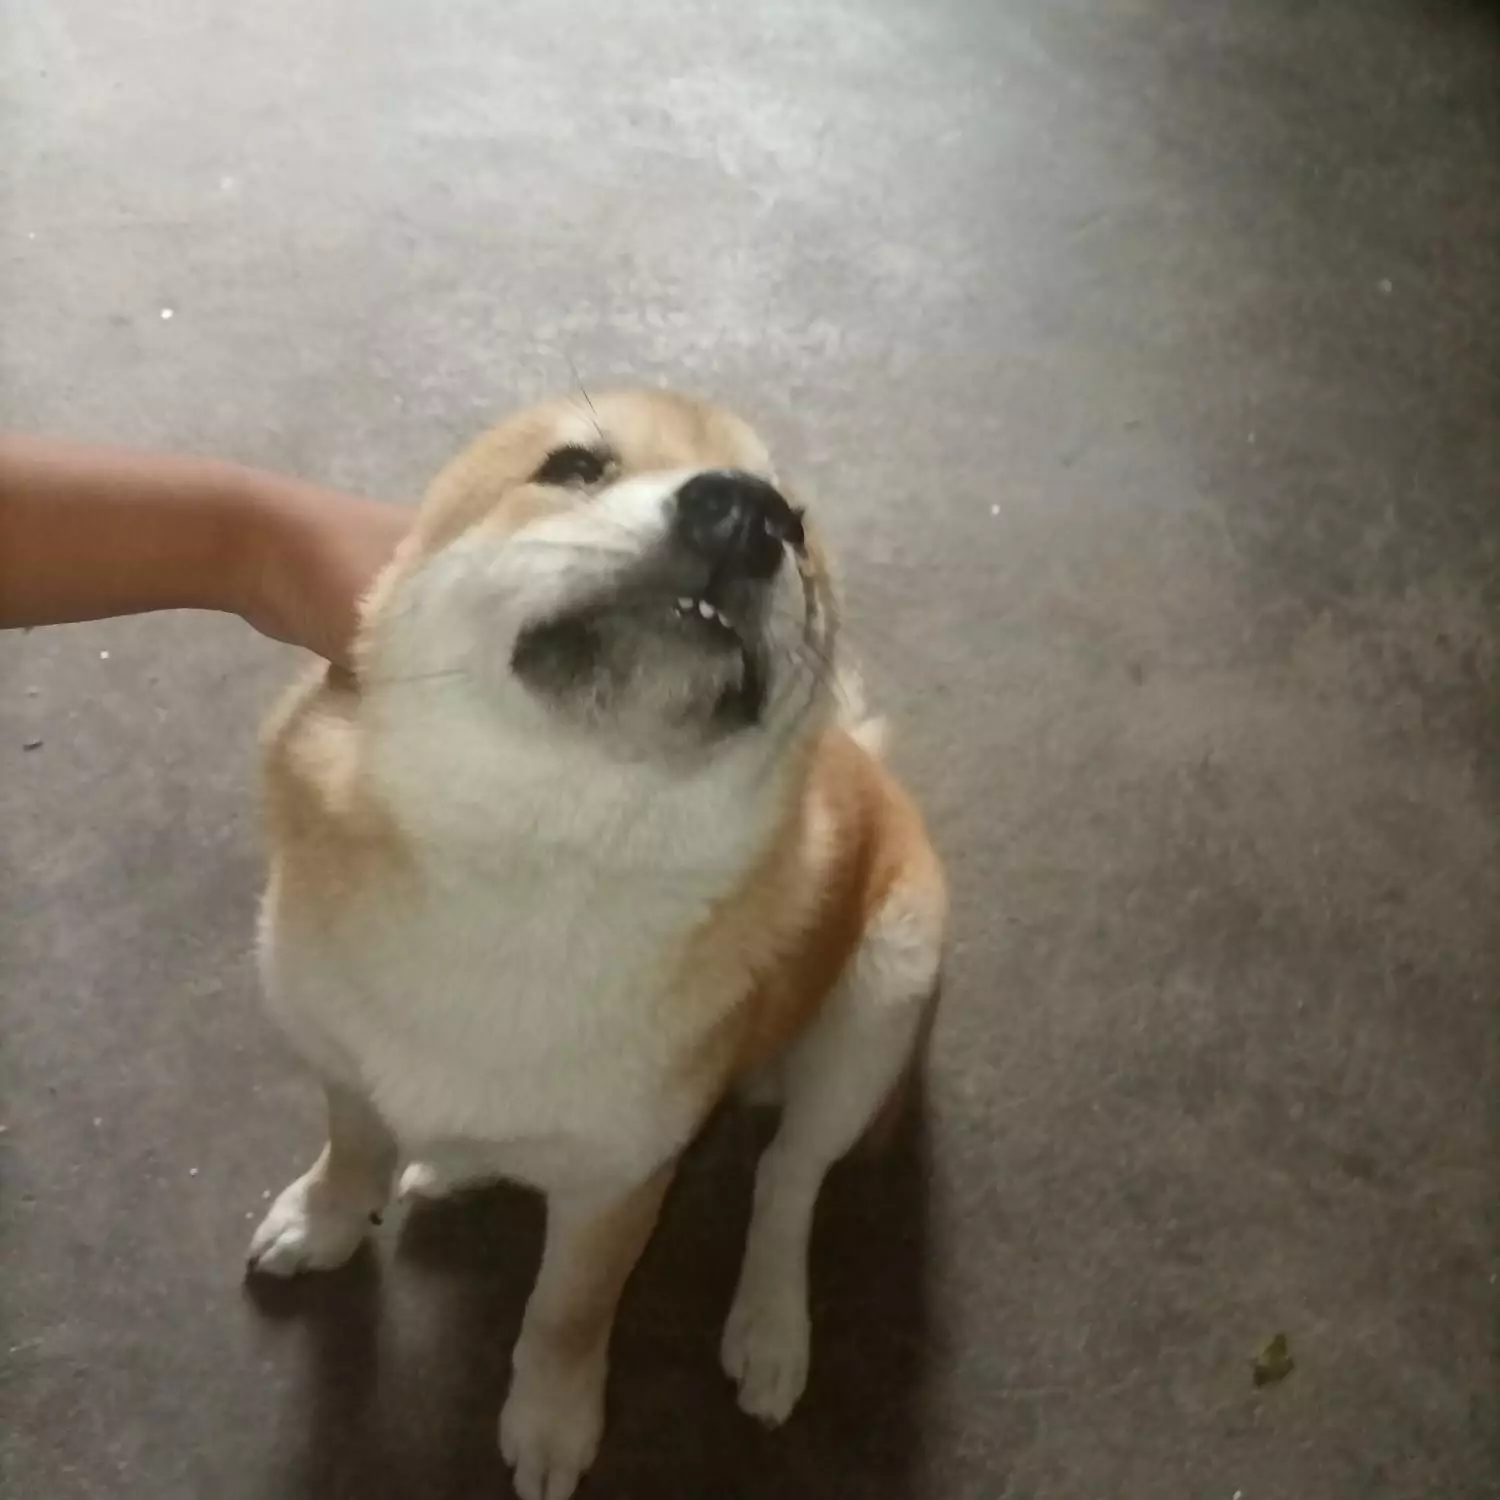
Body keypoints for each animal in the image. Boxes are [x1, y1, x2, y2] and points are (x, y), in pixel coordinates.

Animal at [249, 388, 947, 1500]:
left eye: (797, 527)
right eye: (575, 466)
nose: (746, 516)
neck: (544, 855)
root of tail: (871, 765)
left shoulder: (620, 1183)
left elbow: (565, 1317)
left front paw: (550, 1421)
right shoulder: (341, 1060)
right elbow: (353, 1147)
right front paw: (327, 1219)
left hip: (879, 1002)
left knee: (788, 1178)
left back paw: (769, 1326)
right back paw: (452, 1165)